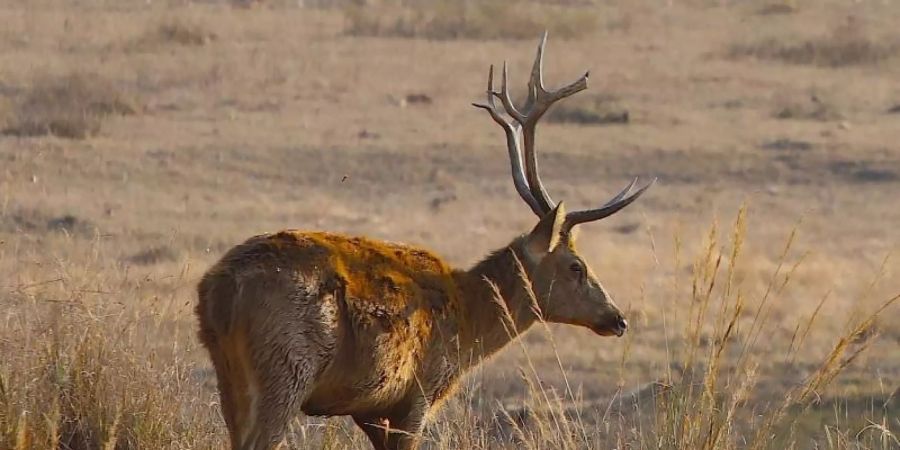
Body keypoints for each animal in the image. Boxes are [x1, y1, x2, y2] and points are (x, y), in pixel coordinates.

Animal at [195, 33, 652, 448]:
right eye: (577, 266)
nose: (618, 319)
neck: (470, 324)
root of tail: (221, 289)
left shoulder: (372, 411)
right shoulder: (416, 394)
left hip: (227, 368)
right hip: (287, 365)